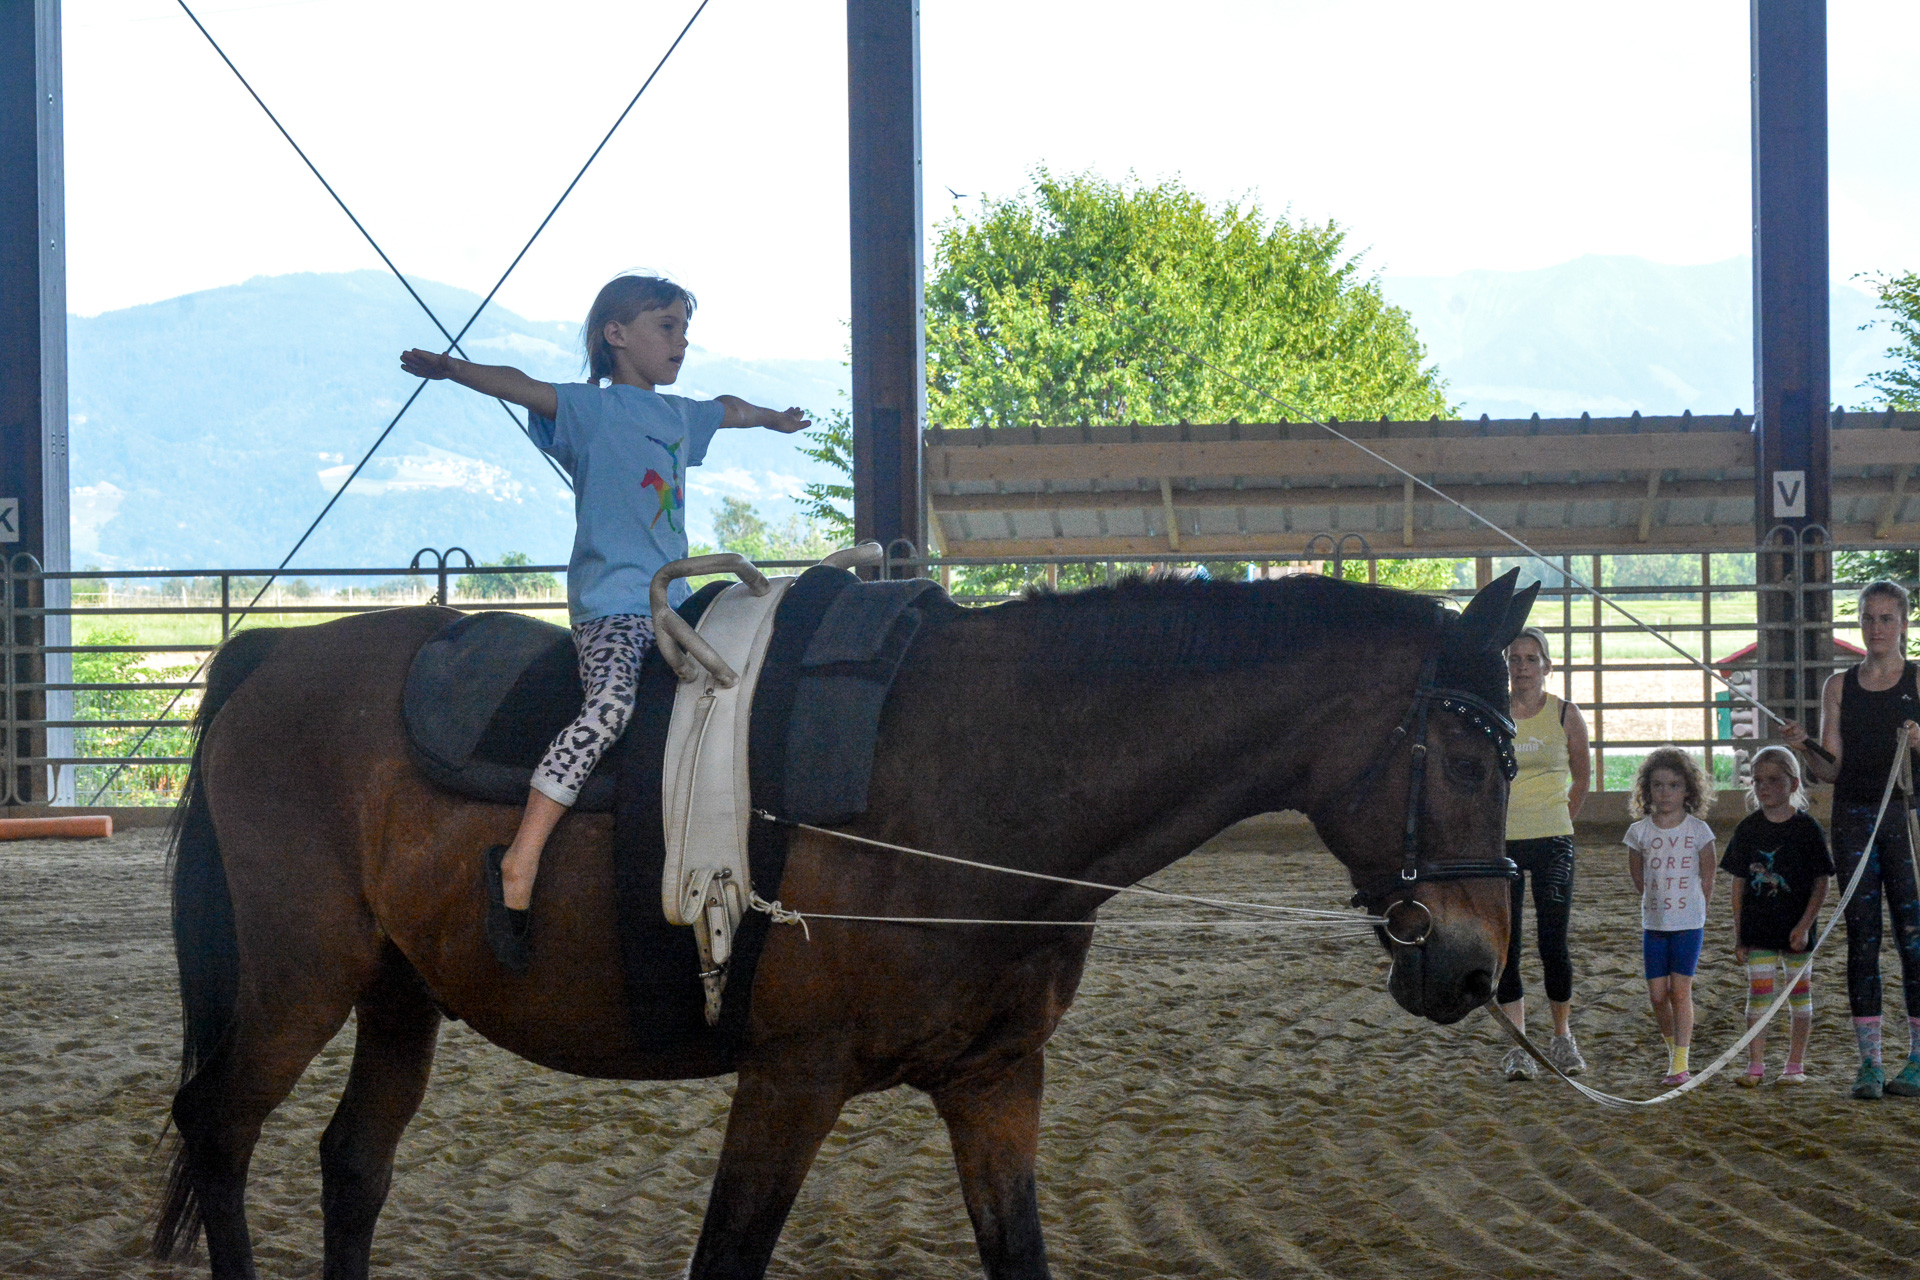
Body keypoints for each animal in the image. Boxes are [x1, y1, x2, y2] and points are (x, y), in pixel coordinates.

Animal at [154, 567, 1538, 1280]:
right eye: (1471, 759)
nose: (1477, 967)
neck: (978, 770)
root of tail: (269, 657)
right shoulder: (790, 1078)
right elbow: (727, 1260)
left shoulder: (994, 1081)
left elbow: (1019, 1254)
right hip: (298, 977)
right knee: (219, 1129)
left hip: (398, 988)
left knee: (352, 1163)